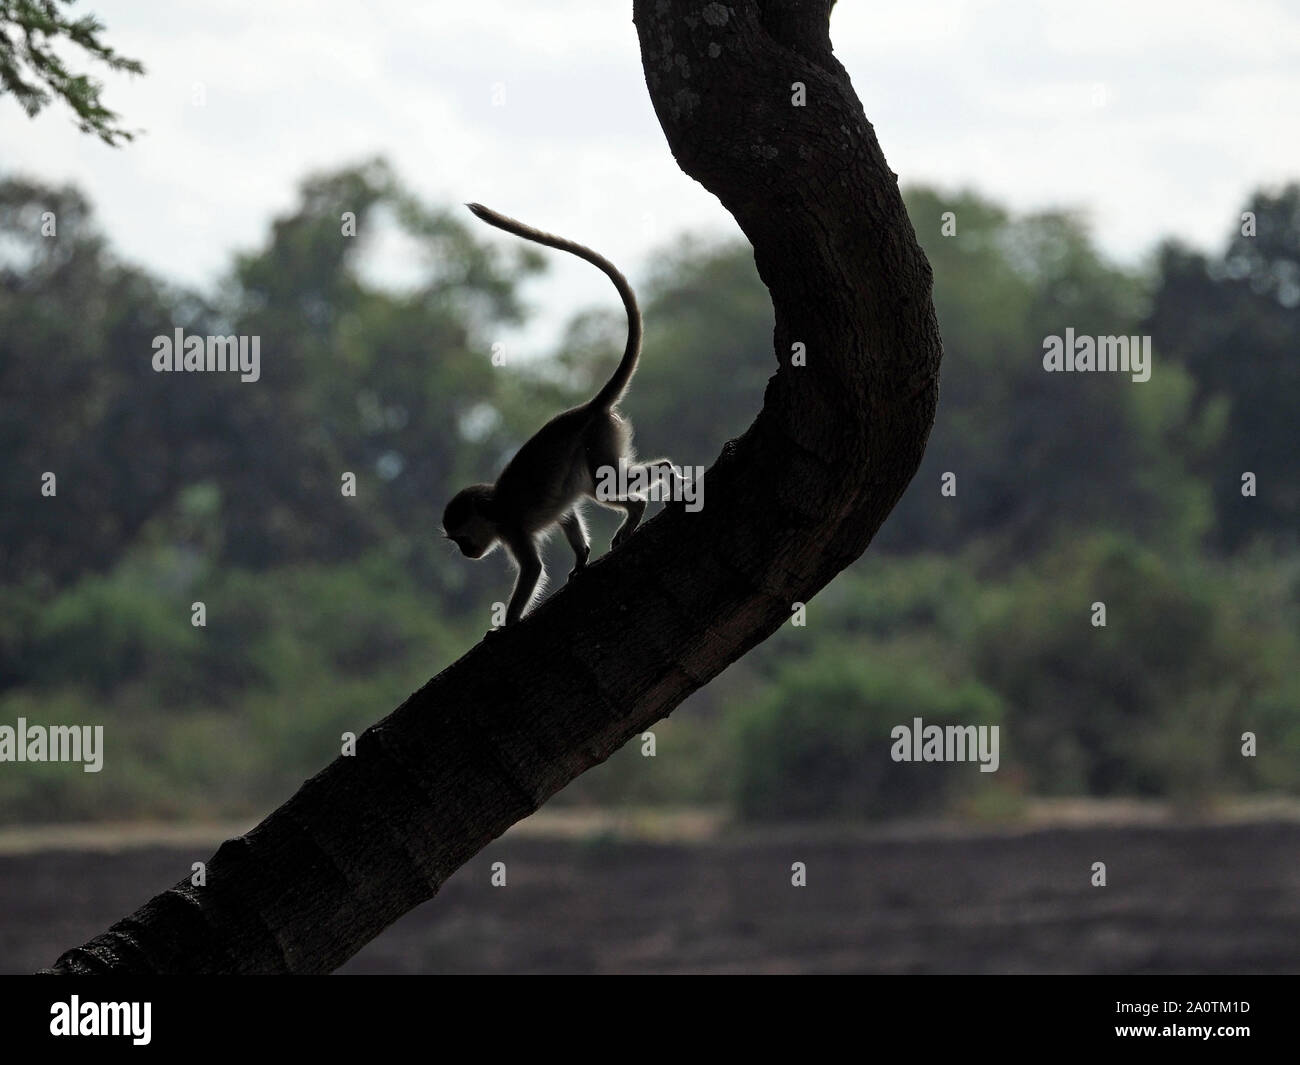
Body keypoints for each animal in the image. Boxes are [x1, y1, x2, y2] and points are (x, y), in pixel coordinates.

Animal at [441, 201, 681, 624]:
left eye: (461, 537)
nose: (466, 553)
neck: (495, 505)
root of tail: (588, 408)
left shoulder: (512, 527)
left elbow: (533, 568)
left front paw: (506, 625)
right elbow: (567, 513)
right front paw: (581, 557)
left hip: (596, 437)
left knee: (602, 485)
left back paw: (638, 506)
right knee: (590, 485)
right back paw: (668, 476)